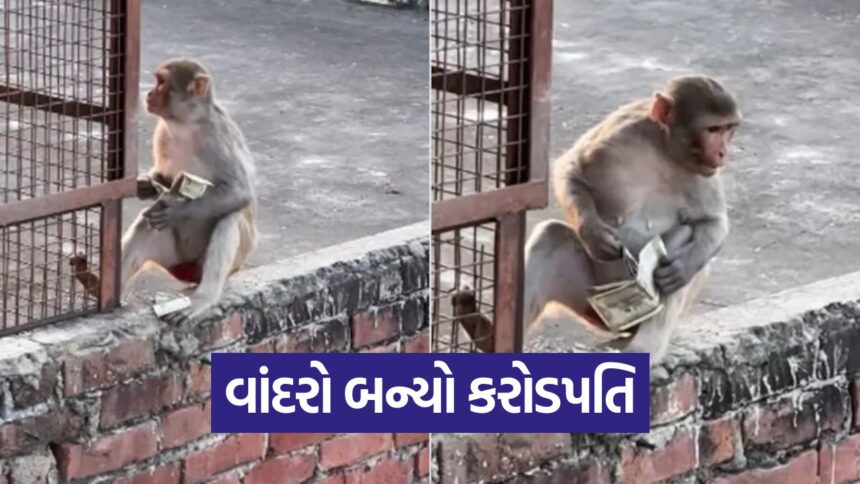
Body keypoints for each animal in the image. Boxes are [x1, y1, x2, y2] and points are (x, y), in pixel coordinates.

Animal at [72, 58, 257, 323]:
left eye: (162, 82)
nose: (149, 93)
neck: (186, 125)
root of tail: (188, 272)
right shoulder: (163, 132)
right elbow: (162, 179)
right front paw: (146, 184)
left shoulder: (218, 137)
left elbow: (241, 192)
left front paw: (176, 211)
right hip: (173, 259)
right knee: (146, 223)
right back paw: (95, 286)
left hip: (232, 260)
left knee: (229, 217)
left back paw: (204, 298)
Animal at [523, 75, 741, 364]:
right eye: (713, 129)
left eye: (728, 128)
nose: (722, 153)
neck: (663, 147)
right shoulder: (620, 129)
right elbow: (572, 171)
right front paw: (595, 235)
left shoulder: (704, 173)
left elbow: (714, 222)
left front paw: (681, 269)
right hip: (589, 297)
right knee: (550, 237)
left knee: (680, 241)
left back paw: (643, 348)